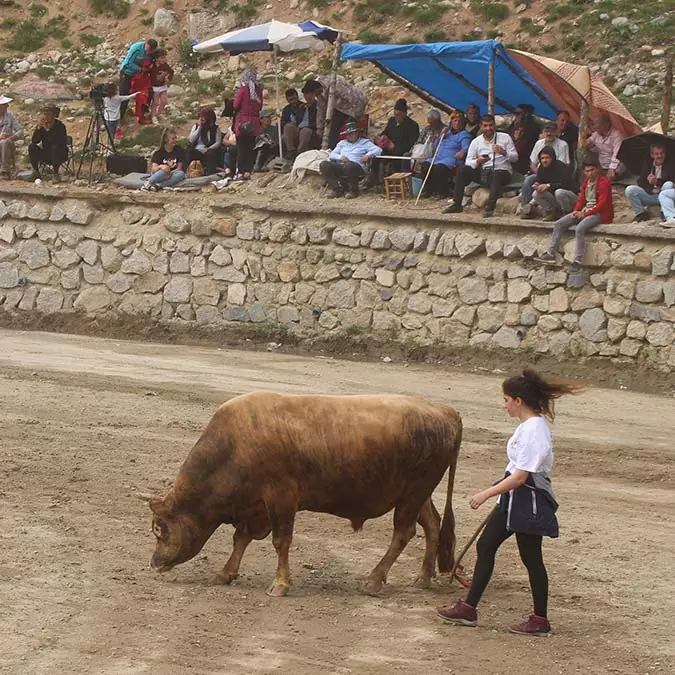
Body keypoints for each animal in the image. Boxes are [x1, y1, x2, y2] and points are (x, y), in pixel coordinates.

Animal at [141, 390, 462, 596]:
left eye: (160, 529)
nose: (155, 562)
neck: (233, 446)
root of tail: (444, 411)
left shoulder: (281, 499)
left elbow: (281, 541)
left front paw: (280, 584)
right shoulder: (255, 508)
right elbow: (240, 539)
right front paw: (226, 572)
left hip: (412, 495)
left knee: (403, 534)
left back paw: (374, 580)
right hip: (417, 495)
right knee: (432, 525)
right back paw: (423, 578)